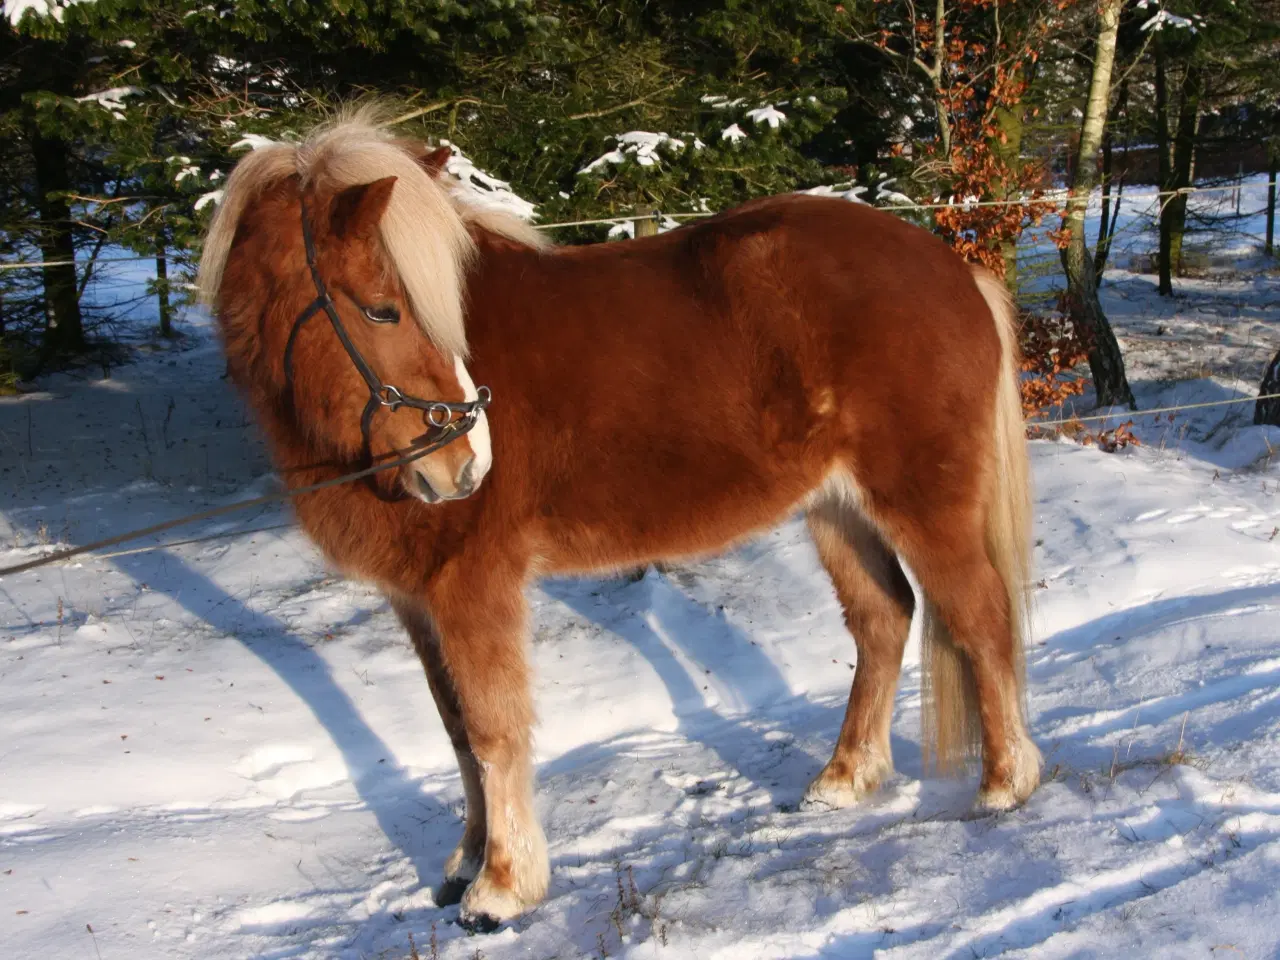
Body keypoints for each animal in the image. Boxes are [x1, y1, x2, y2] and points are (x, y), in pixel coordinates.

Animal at [199, 112, 1039, 931]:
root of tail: (952, 267)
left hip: (923, 502)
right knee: (883, 617)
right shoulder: (416, 599)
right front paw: (466, 863)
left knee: (980, 614)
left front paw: (501, 888)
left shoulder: (471, 585)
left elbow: (493, 729)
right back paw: (845, 777)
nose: (467, 462)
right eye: (382, 308)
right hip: (835, 510)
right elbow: (456, 729)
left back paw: (1006, 783)